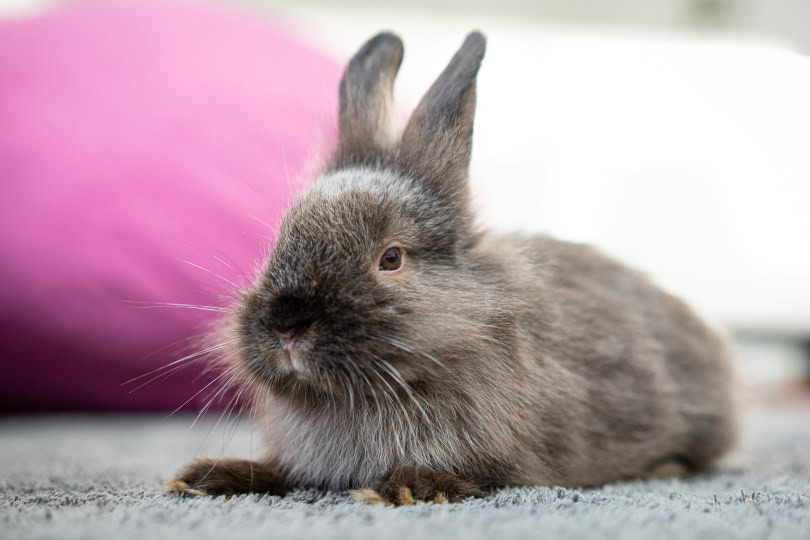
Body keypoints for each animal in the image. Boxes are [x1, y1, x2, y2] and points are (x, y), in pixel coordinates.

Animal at [166, 31, 738, 505]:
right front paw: (205, 478)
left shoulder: (505, 455)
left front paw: (409, 486)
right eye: (280, 240)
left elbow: (479, 473)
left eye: (391, 258)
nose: (286, 326)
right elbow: (278, 471)